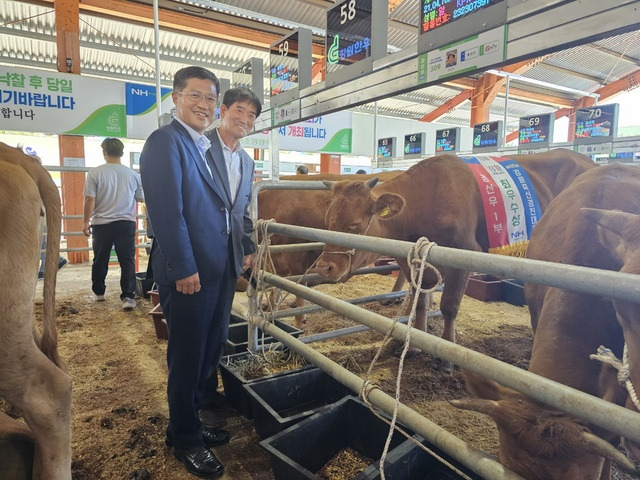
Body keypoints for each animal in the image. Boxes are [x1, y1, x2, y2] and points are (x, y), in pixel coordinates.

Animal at [255, 171, 404, 328]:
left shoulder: (297, 258)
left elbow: (298, 289)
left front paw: (299, 321)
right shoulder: (277, 261)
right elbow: (276, 286)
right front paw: (271, 308)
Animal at [316, 150, 596, 368]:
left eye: (354, 225)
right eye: (328, 220)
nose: (324, 267)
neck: (426, 198)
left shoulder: (464, 254)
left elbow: (449, 306)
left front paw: (446, 355)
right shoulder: (415, 259)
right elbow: (420, 301)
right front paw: (416, 344)